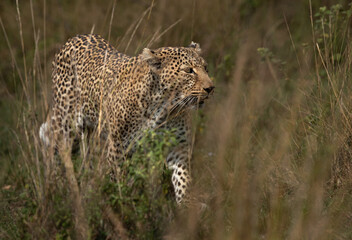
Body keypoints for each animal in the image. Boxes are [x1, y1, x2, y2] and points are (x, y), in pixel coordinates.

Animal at [39, 33, 214, 202]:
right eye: (189, 70)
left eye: (205, 68)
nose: (211, 88)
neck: (164, 108)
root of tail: (73, 38)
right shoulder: (117, 148)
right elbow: (117, 184)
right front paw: (121, 205)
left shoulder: (178, 147)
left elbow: (183, 181)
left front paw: (185, 207)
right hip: (66, 125)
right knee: (57, 155)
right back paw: (58, 189)